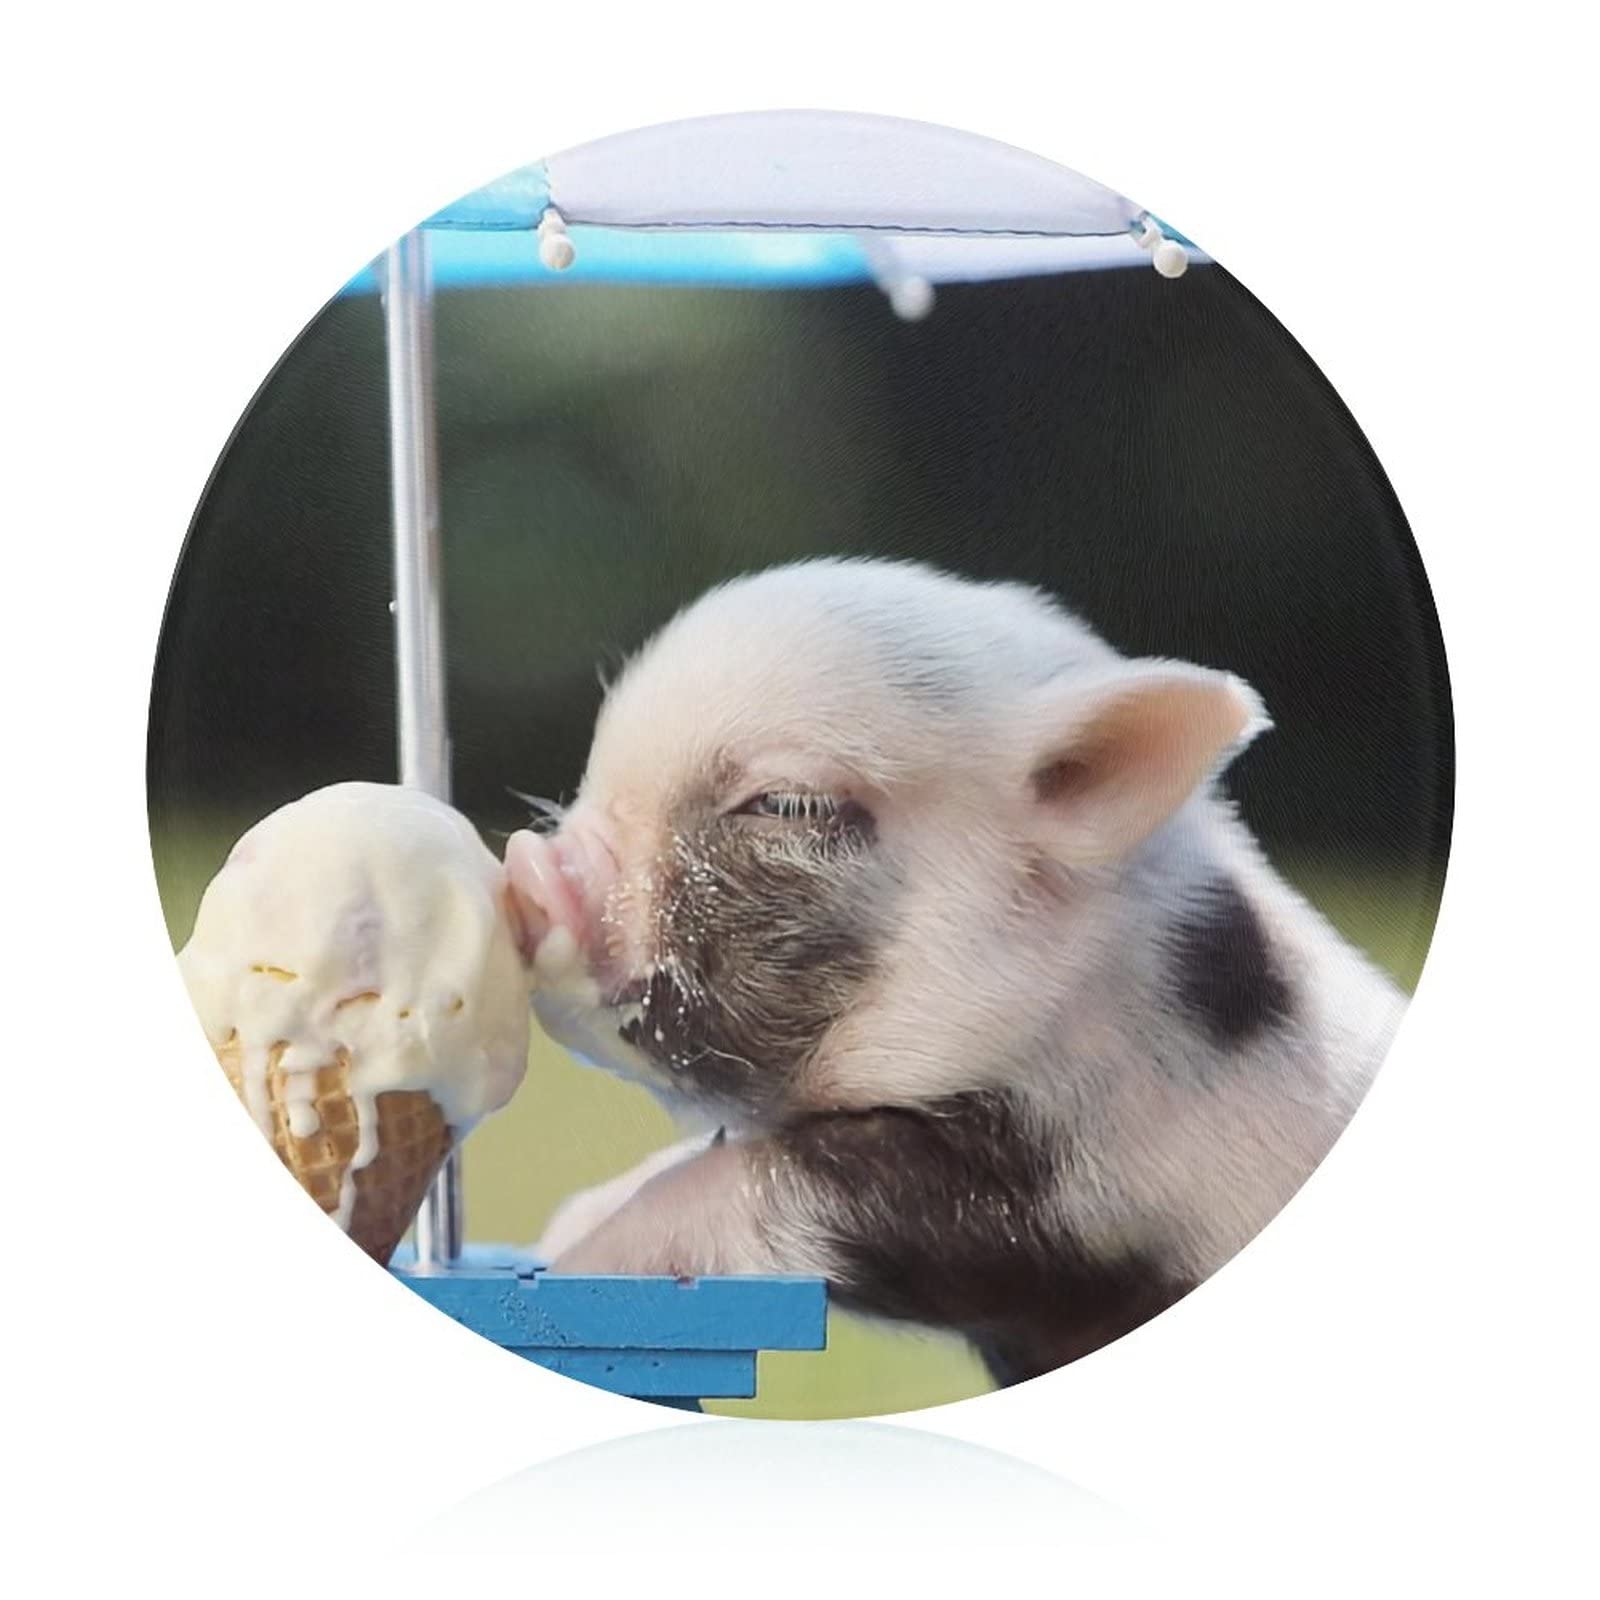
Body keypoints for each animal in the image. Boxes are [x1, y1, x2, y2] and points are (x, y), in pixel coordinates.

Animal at [505, 557, 1407, 1385]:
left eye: (788, 804)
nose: (529, 867)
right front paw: (565, 1226)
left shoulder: (1070, 1191)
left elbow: (774, 1181)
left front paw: (575, 1255)